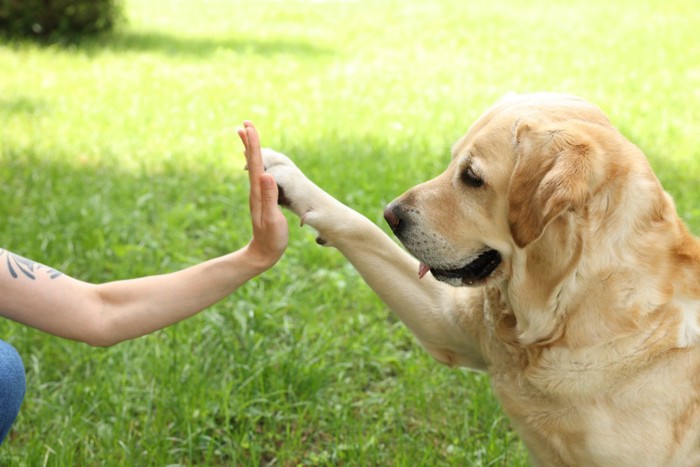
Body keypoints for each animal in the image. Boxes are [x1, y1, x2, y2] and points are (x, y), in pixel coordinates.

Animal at [260, 93, 696, 466]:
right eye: (452, 162)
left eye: (471, 177)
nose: (391, 214)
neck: (565, 311)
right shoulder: (448, 325)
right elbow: (358, 226)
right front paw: (285, 175)